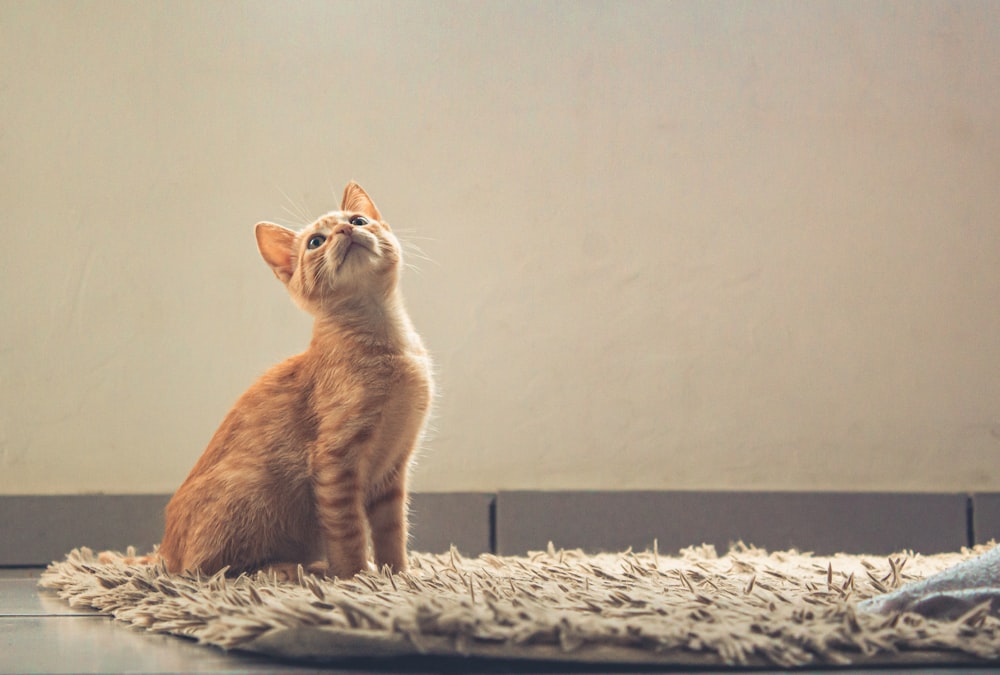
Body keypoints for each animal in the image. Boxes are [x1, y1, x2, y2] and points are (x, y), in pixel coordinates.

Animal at [154, 181, 432, 580]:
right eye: (316, 242)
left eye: (358, 220)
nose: (345, 230)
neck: (385, 340)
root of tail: (166, 552)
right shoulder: (334, 461)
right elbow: (348, 531)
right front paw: (356, 577)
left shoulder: (394, 469)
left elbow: (392, 531)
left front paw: (399, 575)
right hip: (252, 491)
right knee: (212, 570)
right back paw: (290, 569)